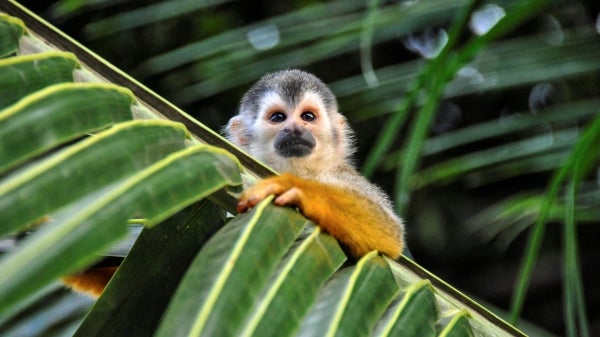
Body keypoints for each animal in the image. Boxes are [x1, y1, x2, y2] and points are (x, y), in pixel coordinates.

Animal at [227, 68, 406, 258]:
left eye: (308, 116)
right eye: (278, 117)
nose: (295, 129)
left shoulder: (341, 174)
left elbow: (391, 233)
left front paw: (296, 188)